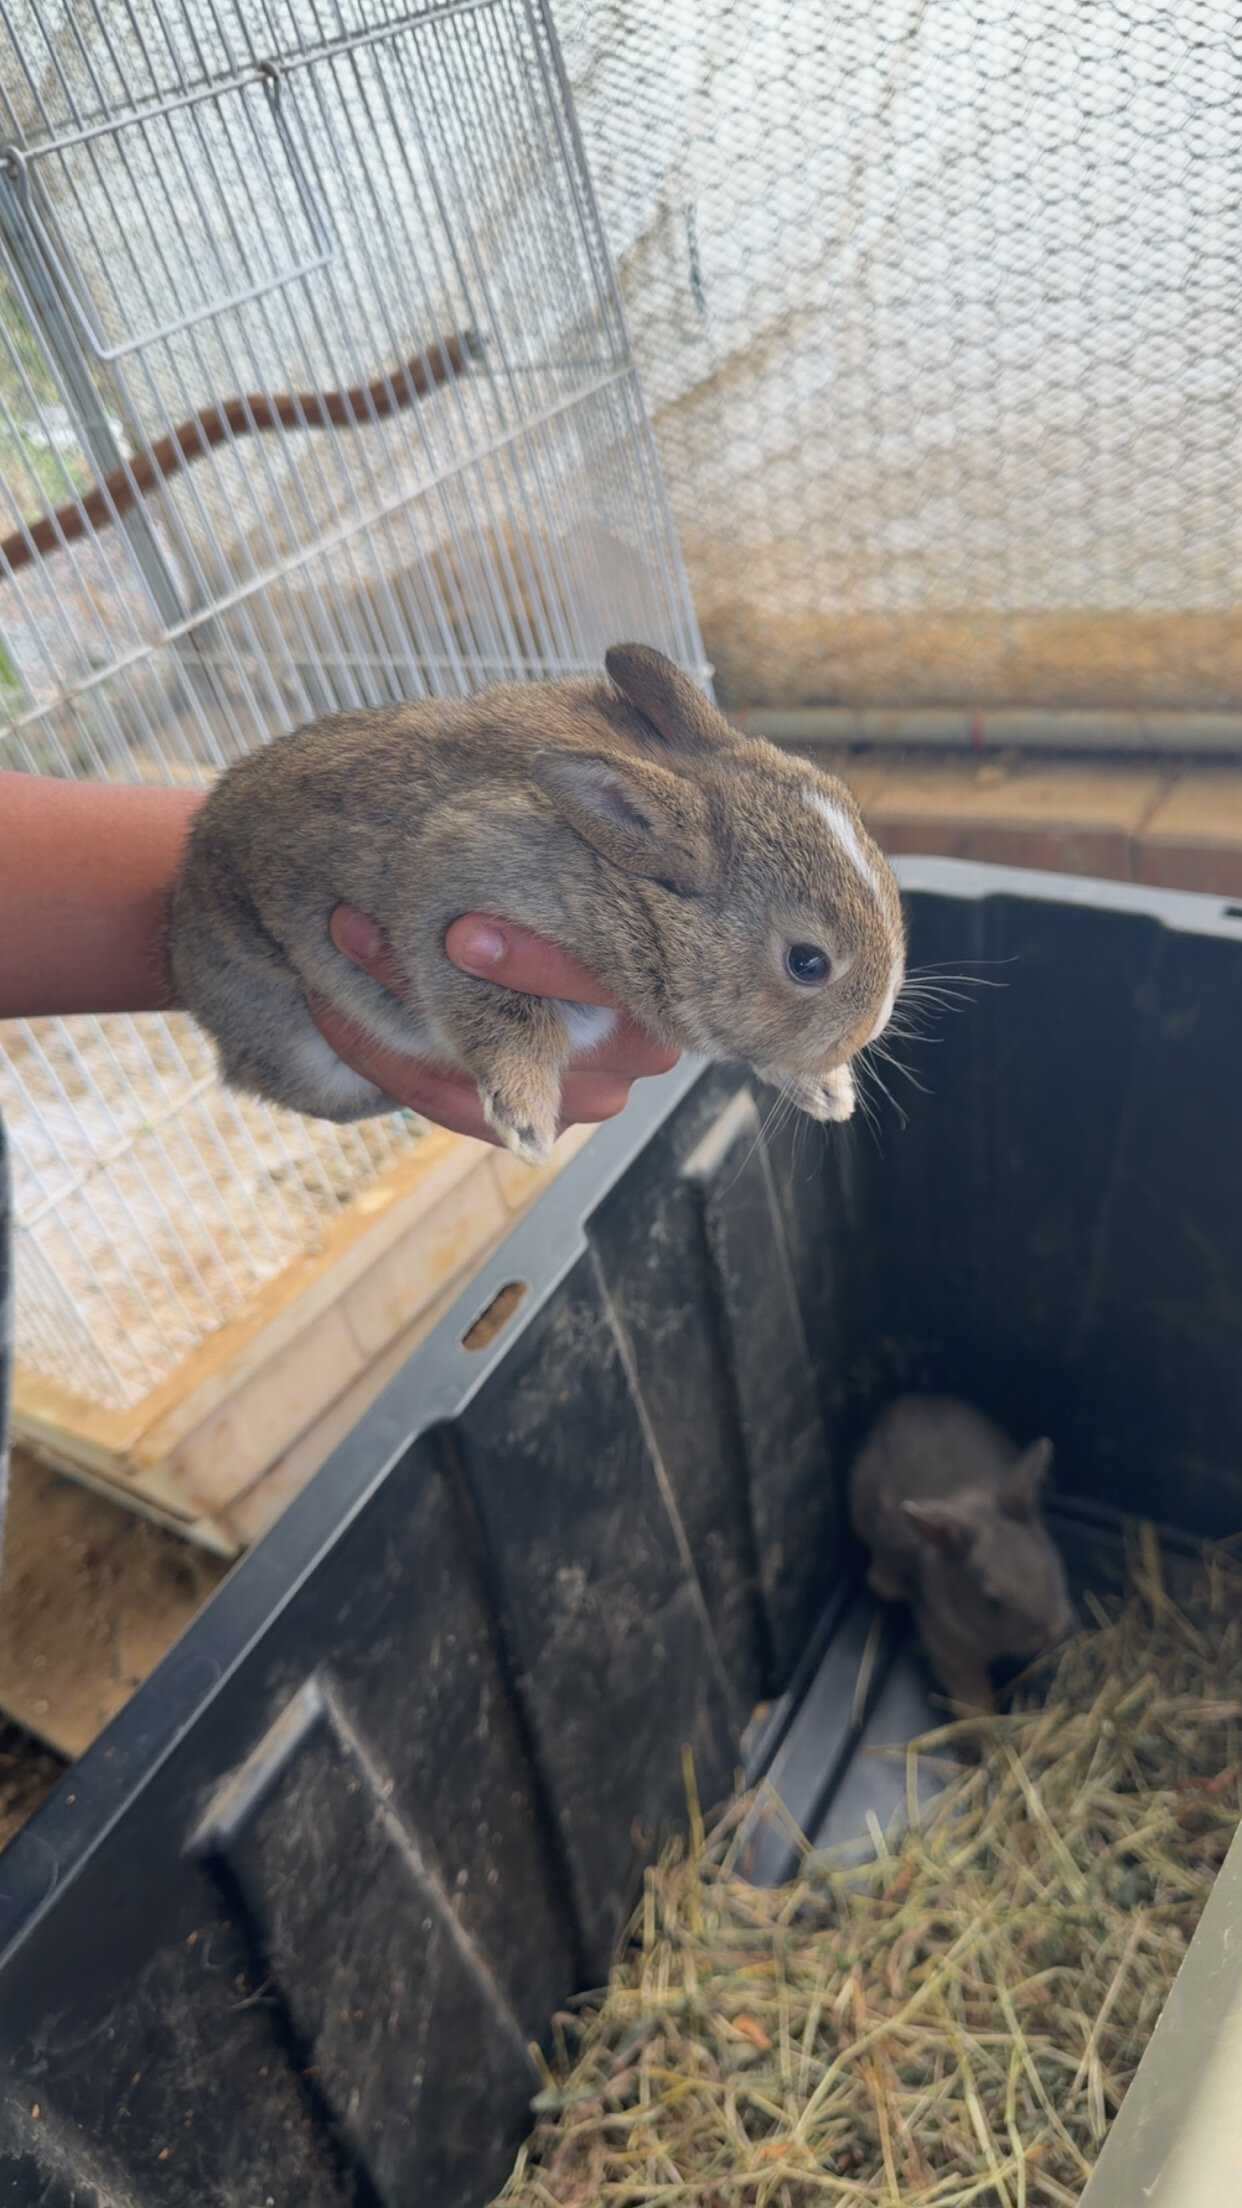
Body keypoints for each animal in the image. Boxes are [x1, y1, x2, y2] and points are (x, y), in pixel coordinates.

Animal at [169, 644, 906, 1165]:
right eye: (807, 963)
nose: (868, 1029)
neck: (631, 888)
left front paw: (829, 1093)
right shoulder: (456, 915)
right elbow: (500, 1019)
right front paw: (525, 1123)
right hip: (309, 1061)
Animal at [849, 1396, 1075, 1712]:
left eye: (1050, 1568)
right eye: (993, 1600)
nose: (1050, 1631)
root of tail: (902, 1403)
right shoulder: (951, 1653)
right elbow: (969, 1687)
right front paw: (983, 1715)